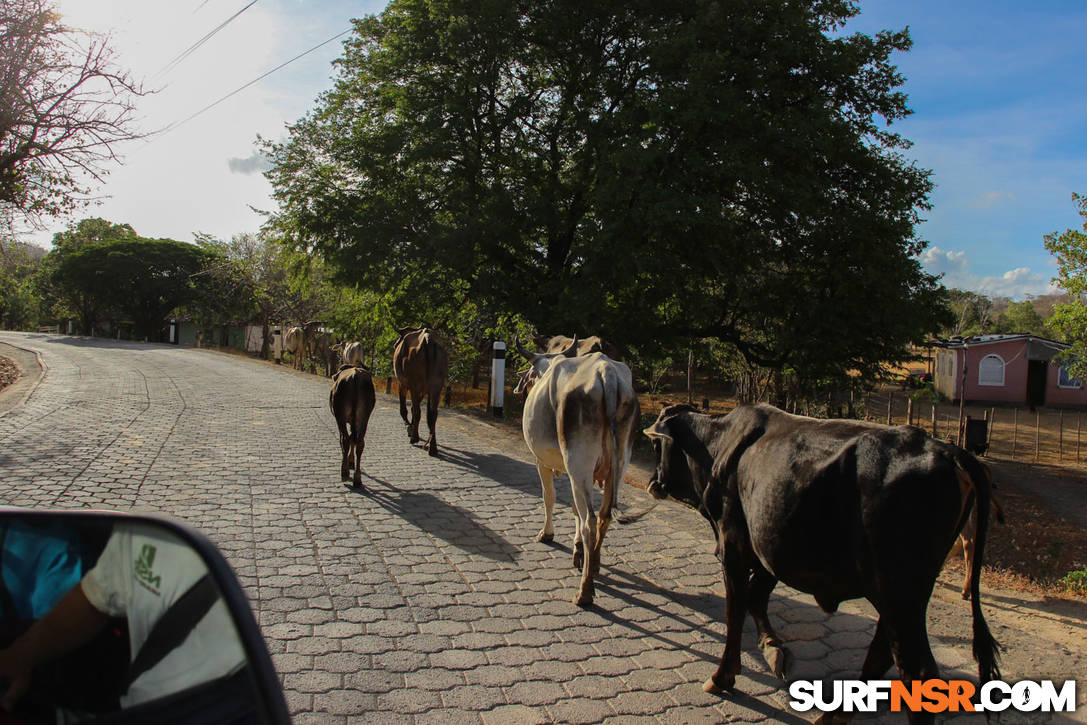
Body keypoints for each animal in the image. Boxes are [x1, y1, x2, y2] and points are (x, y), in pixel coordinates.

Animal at [393, 328, 447, 456]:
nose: (395, 344)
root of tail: (428, 339)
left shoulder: (402, 384)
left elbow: (404, 409)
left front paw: (409, 427)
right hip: (436, 384)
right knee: (433, 414)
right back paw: (433, 447)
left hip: (415, 384)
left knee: (417, 411)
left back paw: (414, 438)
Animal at [515, 336, 639, 608]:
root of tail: (607, 373)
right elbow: (574, 509)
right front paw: (579, 552)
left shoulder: (542, 462)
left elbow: (549, 498)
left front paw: (548, 534)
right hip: (617, 465)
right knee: (603, 516)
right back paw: (595, 565)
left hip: (578, 463)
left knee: (590, 521)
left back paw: (585, 591)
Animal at [639, 406, 995, 721]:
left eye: (657, 445)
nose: (653, 482)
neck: (718, 445)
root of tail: (947, 450)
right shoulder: (769, 547)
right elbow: (757, 599)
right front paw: (773, 649)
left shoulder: (733, 548)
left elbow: (736, 612)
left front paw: (724, 675)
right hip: (897, 597)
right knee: (881, 655)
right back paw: (832, 716)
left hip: (899, 593)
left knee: (915, 671)